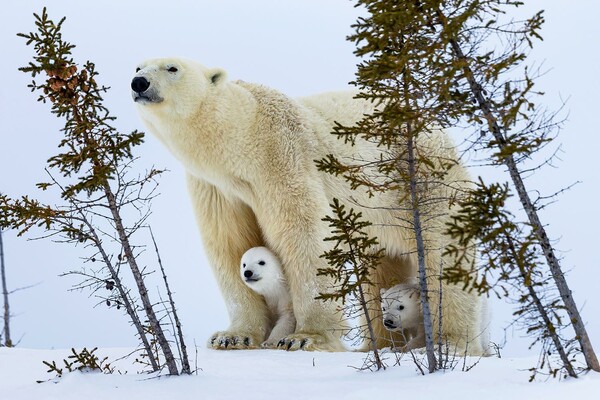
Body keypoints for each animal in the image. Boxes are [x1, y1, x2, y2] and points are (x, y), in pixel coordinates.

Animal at [132, 57, 488, 354]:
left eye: (172, 67)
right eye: (138, 65)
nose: (139, 83)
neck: (244, 137)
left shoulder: (283, 157)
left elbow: (304, 235)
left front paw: (304, 337)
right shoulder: (217, 189)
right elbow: (230, 245)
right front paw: (233, 336)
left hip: (419, 182)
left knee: (442, 254)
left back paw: (449, 342)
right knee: (382, 269)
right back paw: (381, 345)